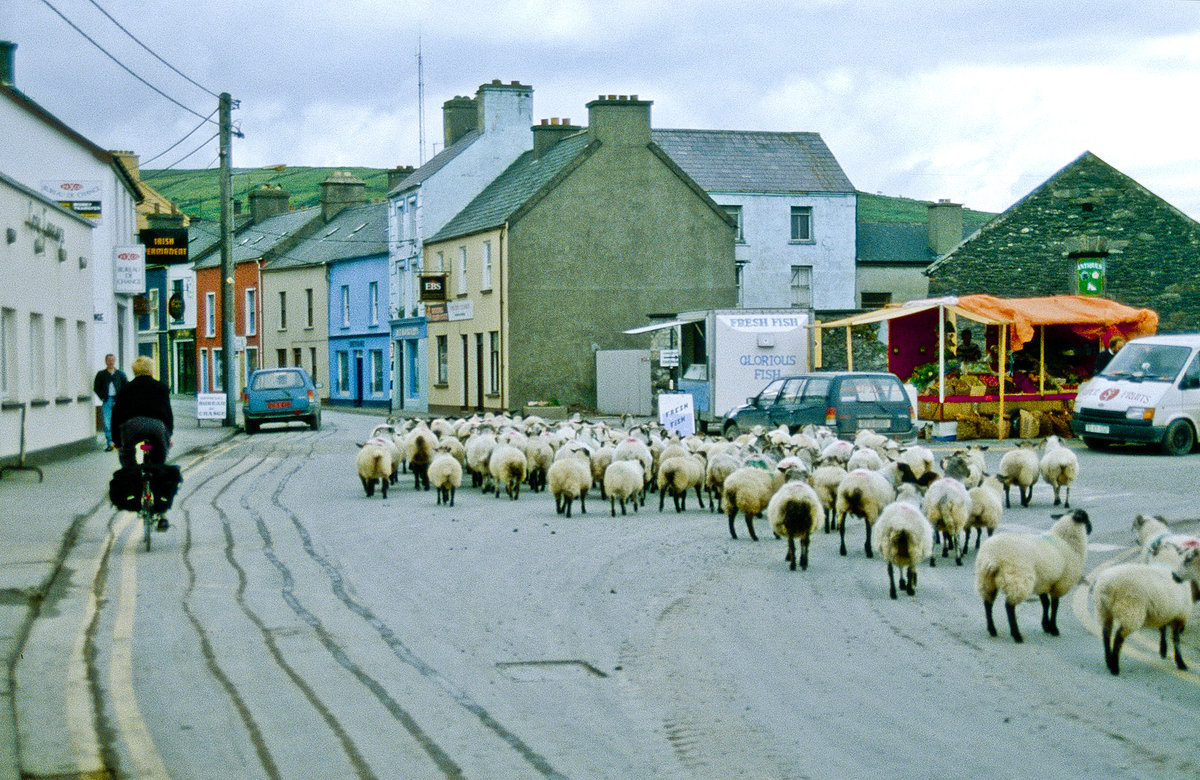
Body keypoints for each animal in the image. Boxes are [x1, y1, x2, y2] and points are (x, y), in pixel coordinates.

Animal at [974, 506, 1099, 643]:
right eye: (1085, 517)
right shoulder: (1060, 583)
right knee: (1009, 606)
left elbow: (1045, 603)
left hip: (986, 579)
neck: (1066, 542)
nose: (1091, 528)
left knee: (987, 603)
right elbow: (1055, 605)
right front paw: (1054, 628)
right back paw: (1016, 635)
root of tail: (993, 557)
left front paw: (1046, 625)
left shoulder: (1044, 581)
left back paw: (992, 630)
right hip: (1017, 579)